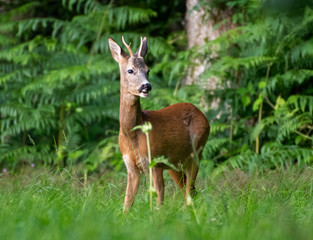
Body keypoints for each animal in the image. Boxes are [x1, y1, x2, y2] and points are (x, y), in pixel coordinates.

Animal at [108, 36, 210, 211]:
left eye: (148, 70)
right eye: (130, 70)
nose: (146, 86)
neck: (133, 133)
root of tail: (201, 113)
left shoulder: (155, 161)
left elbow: (159, 199)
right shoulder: (131, 167)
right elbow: (127, 203)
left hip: (197, 150)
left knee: (190, 189)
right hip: (175, 164)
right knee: (189, 190)